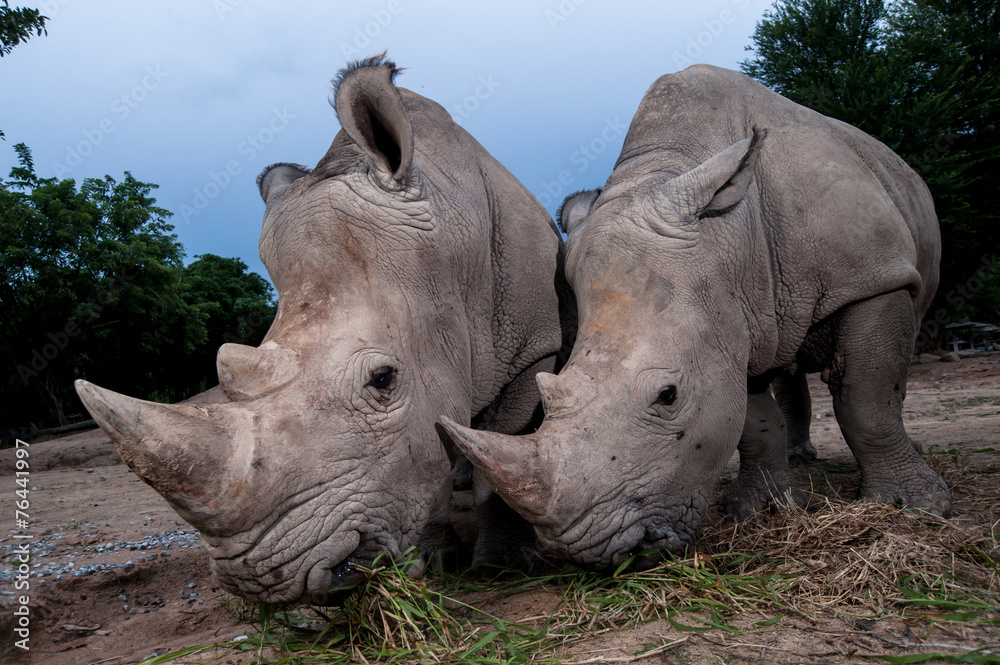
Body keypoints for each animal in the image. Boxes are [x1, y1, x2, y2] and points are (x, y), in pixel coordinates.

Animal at [74, 55, 573, 603]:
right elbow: (429, 456)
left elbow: (500, 447)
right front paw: (436, 560)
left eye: (383, 379)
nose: (259, 579)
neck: (452, 261)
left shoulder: (532, 348)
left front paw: (502, 568)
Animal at [439, 64, 950, 570]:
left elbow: (867, 395)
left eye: (668, 396)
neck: (729, 237)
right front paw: (761, 510)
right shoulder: (735, 322)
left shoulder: (872, 276)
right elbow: (752, 420)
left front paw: (912, 507)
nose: (593, 552)